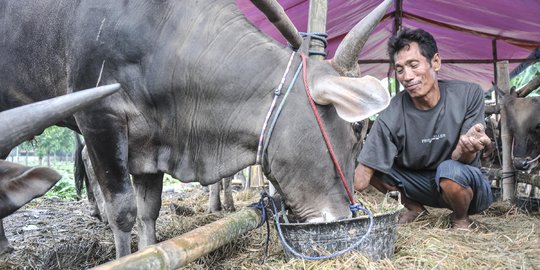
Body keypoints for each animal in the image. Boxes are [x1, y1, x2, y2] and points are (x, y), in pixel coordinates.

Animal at [1, 0, 392, 258]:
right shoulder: (99, 117)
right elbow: (124, 212)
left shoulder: (150, 144)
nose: (346, 216)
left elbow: (149, 213)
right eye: (357, 133)